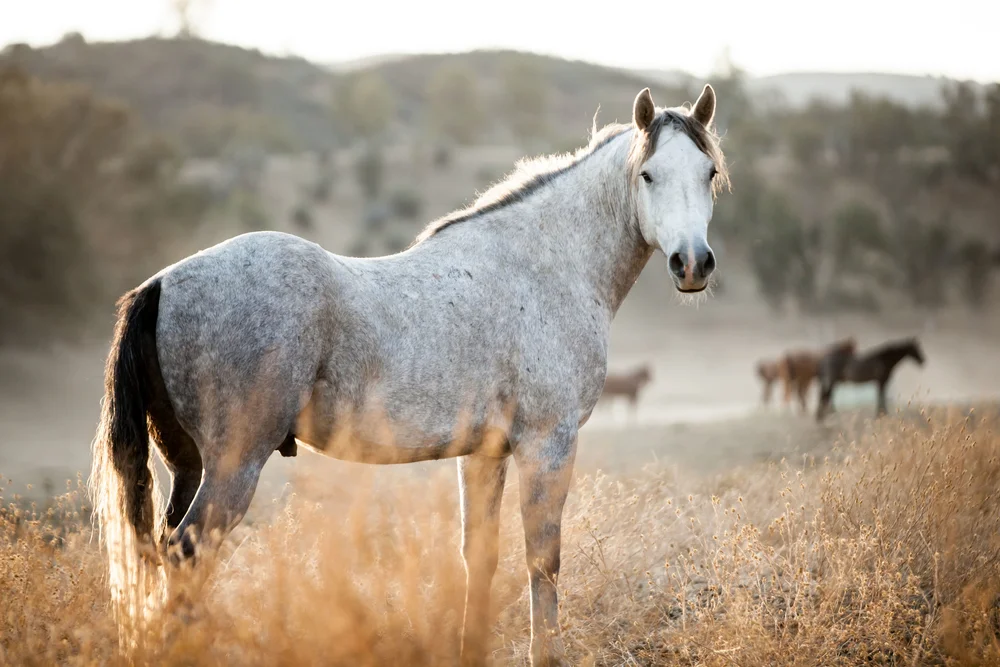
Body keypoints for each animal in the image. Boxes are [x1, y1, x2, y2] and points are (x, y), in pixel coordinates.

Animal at [89, 84, 728, 666]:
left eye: (709, 173)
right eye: (648, 175)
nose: (692, 264)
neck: (544, 266)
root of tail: (161, 285)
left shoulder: (485, 454)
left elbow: (481, 556)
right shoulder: (548, 445)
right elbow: (542, 561)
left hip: (189, 466)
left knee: (165, 552)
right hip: (232, 467)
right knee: (187, 553)